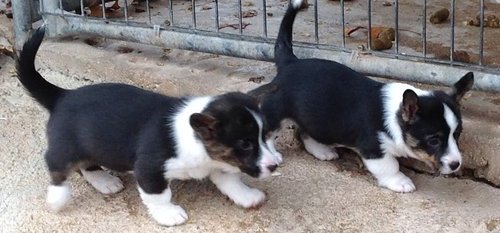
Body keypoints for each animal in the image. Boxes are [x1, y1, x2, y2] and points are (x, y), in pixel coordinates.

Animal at [17, 26, 284, 226]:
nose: (274, 166)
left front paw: (249, 197)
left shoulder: (217, 162)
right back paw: (57, 197)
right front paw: (170, 215)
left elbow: (231, 181)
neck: (197, 139)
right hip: (67, 146)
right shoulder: (149, 168)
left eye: (265, 136)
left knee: (88, 165)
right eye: (245, 144)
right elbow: (160, 196)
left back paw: (105, 181)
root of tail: (62, 95)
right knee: (56, 164)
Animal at [250, 0, 472, 193]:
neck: (396, 115)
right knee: (269, 132)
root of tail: (290, 62)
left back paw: (322, 150)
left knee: (305, 132)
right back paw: (274, 154)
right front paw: (400, 182)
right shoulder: (373, 149)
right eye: (434, 140)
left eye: (457, 135)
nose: (456, 164)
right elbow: (390, 165)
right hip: (277, 111)